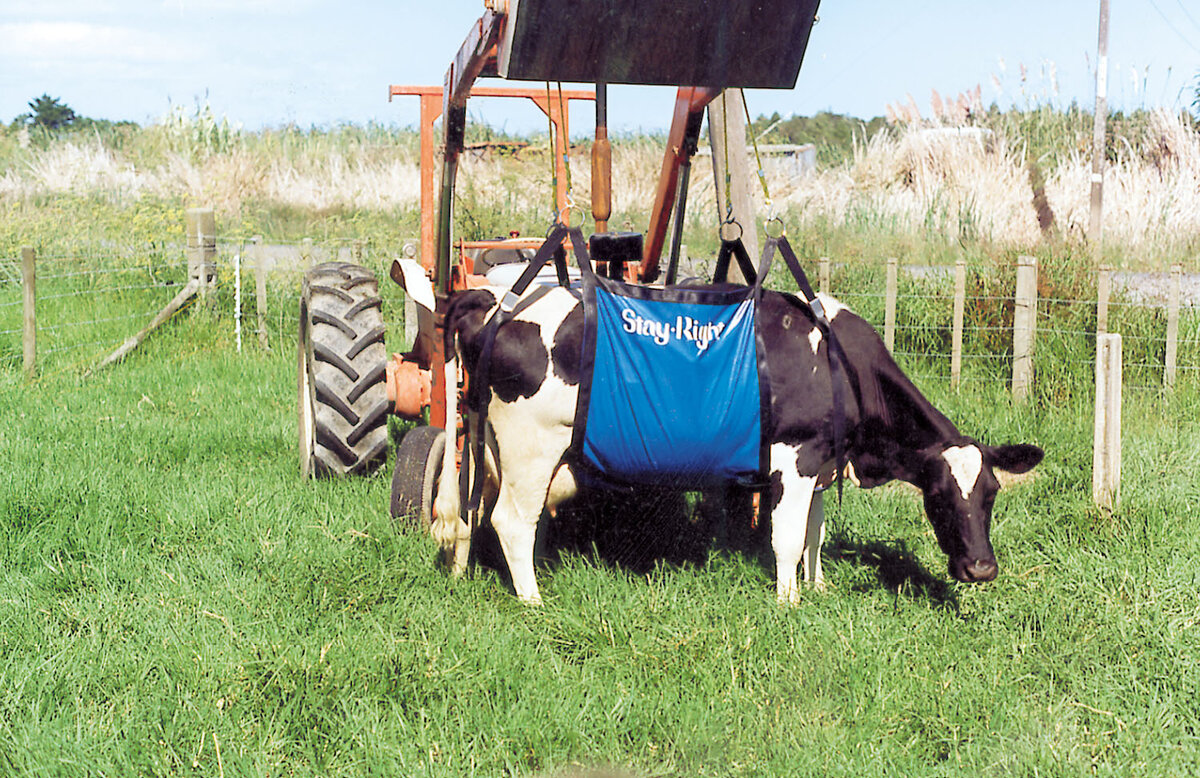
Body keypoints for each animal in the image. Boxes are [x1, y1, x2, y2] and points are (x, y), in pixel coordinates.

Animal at [432, 282, 1041, 605]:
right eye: (938, 496)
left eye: (991, 495)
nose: (981, 569)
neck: (839, 362)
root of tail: (495, 300)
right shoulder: (795, 459)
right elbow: (788, 539)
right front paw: (789, 602)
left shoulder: (821, 464)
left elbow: (815, 533)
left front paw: (818, 588)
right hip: (532, 446)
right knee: (511, 521)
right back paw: (533, 600)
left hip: (486, 446)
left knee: (471, 511)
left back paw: (463, 573)